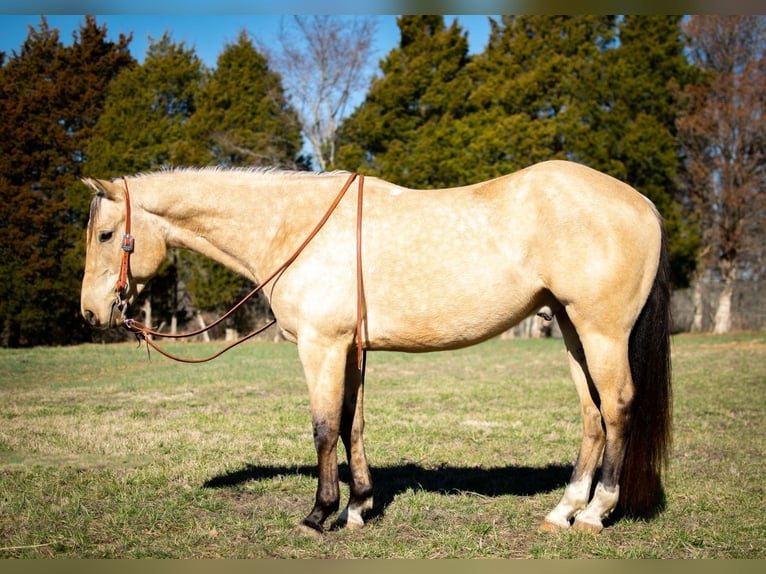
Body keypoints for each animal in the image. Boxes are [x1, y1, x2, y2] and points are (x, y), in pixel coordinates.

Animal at [81, 161, 676, 536]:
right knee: (593, 417)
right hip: (573, 332)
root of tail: (643, 203)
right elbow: (353, 425)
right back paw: (563, 511)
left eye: (106, 236)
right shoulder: (352, 348)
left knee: (617, 408)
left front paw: (318, 516)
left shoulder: (321, 346)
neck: (293, 225)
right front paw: (358, 508)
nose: (90, 312)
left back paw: (596, 514)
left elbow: (324, 428)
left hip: (601, 333)